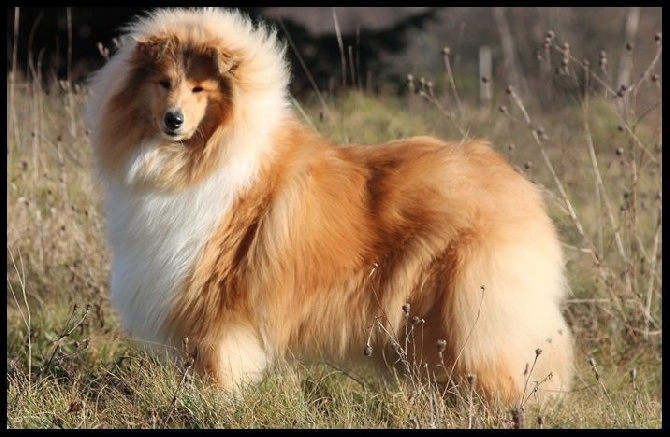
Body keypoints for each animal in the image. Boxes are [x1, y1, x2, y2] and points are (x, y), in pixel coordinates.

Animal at [86, 6, 576, 404]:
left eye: (200, 89)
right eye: (164, 83)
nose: (174, 120)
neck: (198, 159)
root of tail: (516, 185)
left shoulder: (219, 307)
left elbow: (217, 370)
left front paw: (209, 405)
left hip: (469, 315)